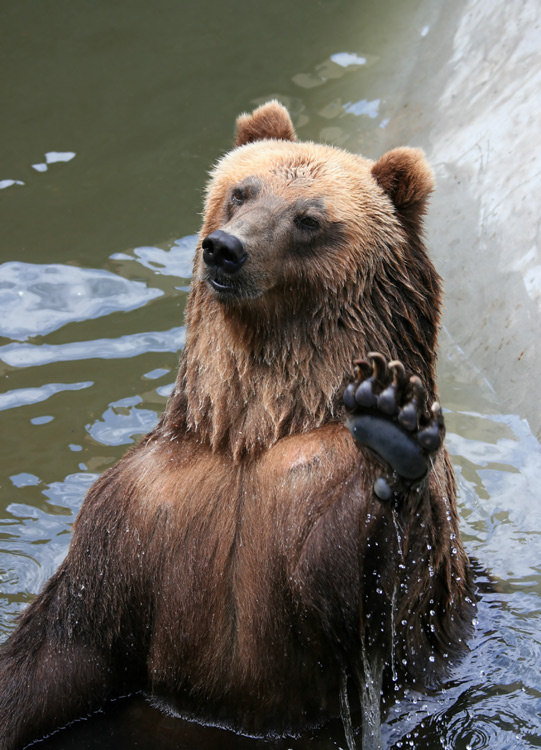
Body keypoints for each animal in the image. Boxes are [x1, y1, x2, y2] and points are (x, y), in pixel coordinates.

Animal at [0, 101, 475, 750]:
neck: (252, 432)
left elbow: (372, 599)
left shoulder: (314, 496)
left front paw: (391, 430)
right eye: (241, 191)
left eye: (308, 218)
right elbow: (62, 649)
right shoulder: (141, 513)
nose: (224, 248)